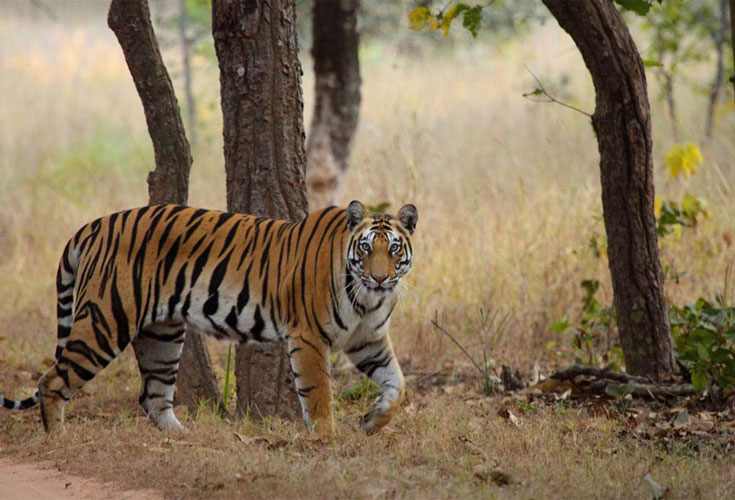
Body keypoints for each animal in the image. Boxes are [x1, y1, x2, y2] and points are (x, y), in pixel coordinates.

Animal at [0, 201, 417, 436]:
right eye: (366, 249)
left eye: (394, 249)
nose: (380, 278)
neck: (368, 300)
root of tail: (93, 225)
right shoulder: (309, 337)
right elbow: (318, 393)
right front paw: (326, 439)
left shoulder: (368, 340)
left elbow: (397, 383)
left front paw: (372, 421)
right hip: (104, 321)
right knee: (53, 379)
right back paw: (59, 439)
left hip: (162, 335)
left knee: (153, 396)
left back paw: (183, 437)